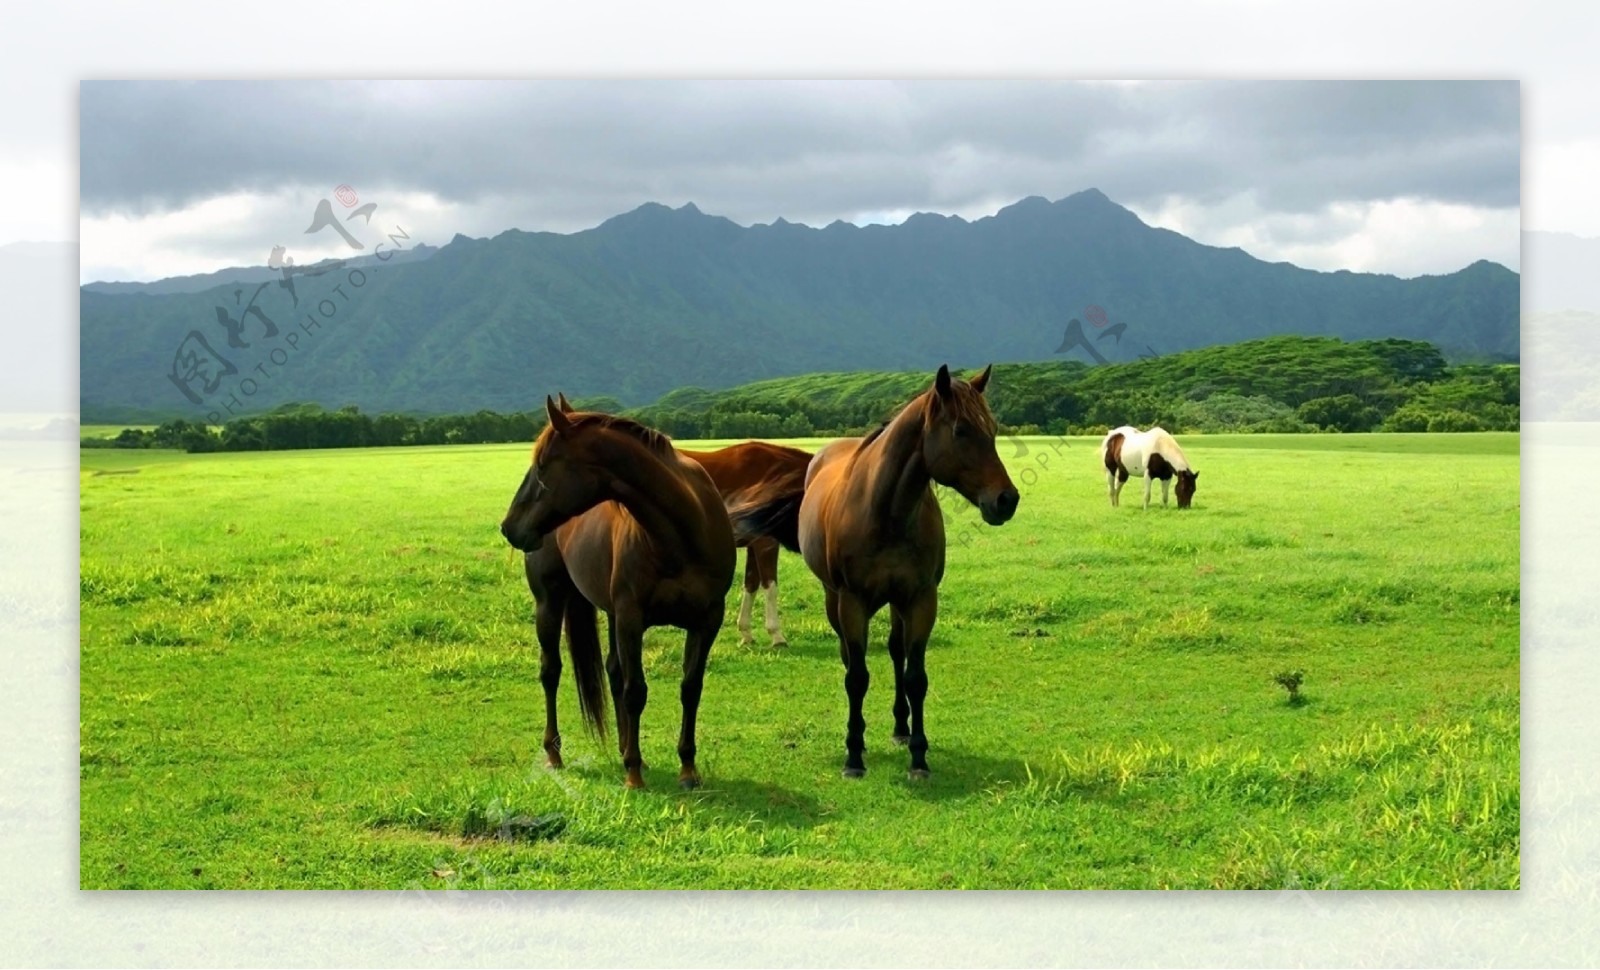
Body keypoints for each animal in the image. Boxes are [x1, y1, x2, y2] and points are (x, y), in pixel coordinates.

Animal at [499, 398, 736, 793]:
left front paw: (687, 768)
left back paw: (625, 746)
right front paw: (634, 774)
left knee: (612, 670)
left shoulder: (707, 621)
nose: (509, 527)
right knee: (552, 671)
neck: (682, 534)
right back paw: (555, 753)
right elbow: (635, 690)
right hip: (550, 603)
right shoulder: (631, 618)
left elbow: (690, 688)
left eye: (543, 465)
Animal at [732, 364, 1011, 784]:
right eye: (961, 430)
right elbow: (857, 677)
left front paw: (918, 756)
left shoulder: (920, 599)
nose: (1006, 500)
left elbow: (915, 676)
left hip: (897, 603)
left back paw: (900, 728)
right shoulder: (852, 602)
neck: (887, 512)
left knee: (896, 653)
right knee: (849, 658)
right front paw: (853, 755)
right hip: (834, 599)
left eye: (993, 429)